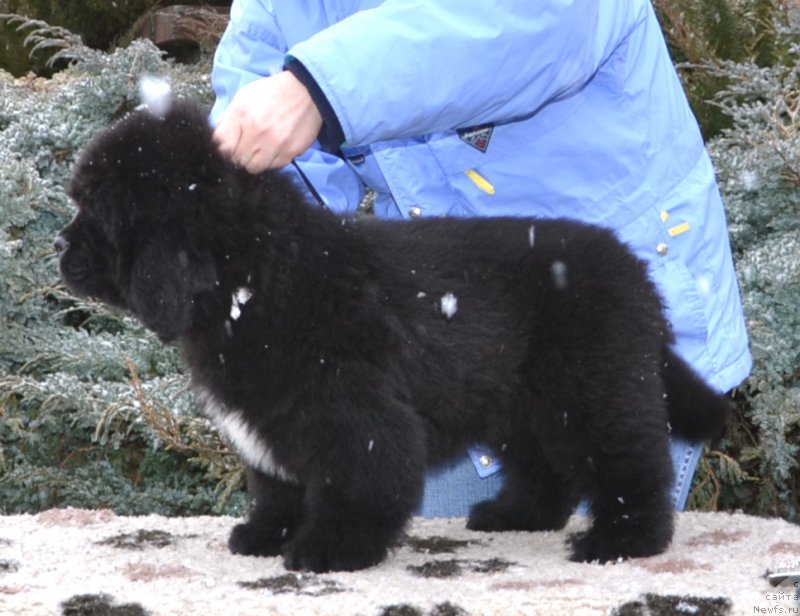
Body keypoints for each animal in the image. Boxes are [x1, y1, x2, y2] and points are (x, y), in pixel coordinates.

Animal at [56, 101, 728, 572]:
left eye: (99, 215)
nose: (59, 244)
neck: (259, 275)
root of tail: (638, 275)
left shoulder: (354, 412)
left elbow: (356, 481)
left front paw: (330, 548)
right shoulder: (274, 420)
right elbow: (278, 485)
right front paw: (267, 534)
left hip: (593, 389)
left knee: (631, 463)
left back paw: (624, 539)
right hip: (519, 403)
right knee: (546, 467)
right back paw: (516, 514)